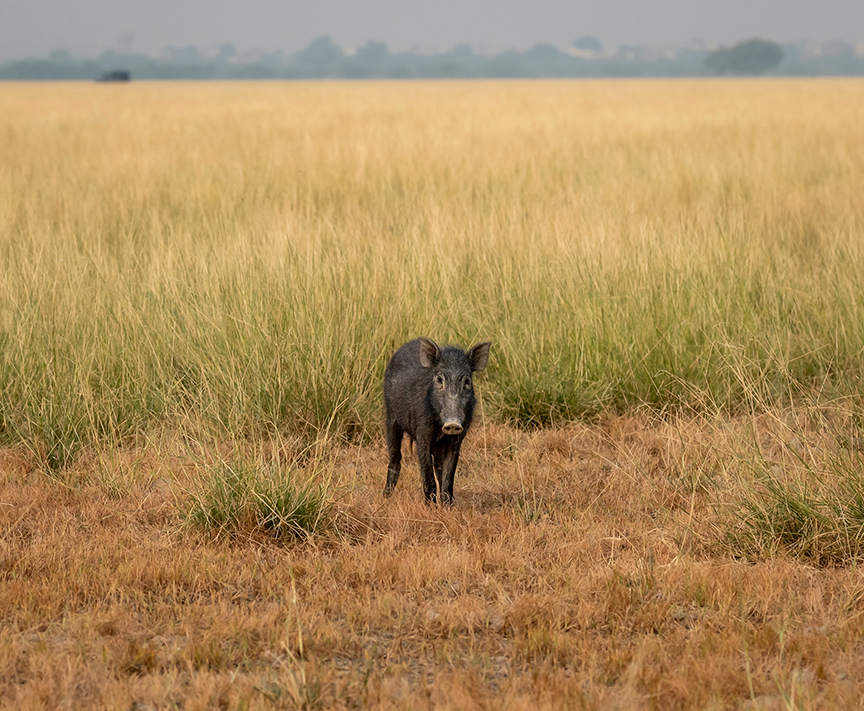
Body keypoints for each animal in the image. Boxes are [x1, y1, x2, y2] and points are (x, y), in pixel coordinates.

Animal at [383, 337, 492, 504]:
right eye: (439, 380)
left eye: (467, 381)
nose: (452, 423)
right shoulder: (422, 435)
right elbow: (428, 476)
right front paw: (430, 507)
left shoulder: (456, 440)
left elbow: (448, 476)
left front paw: (448, 506)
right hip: (391, 419)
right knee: (395, 459)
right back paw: (386, 497)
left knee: (438, 467)